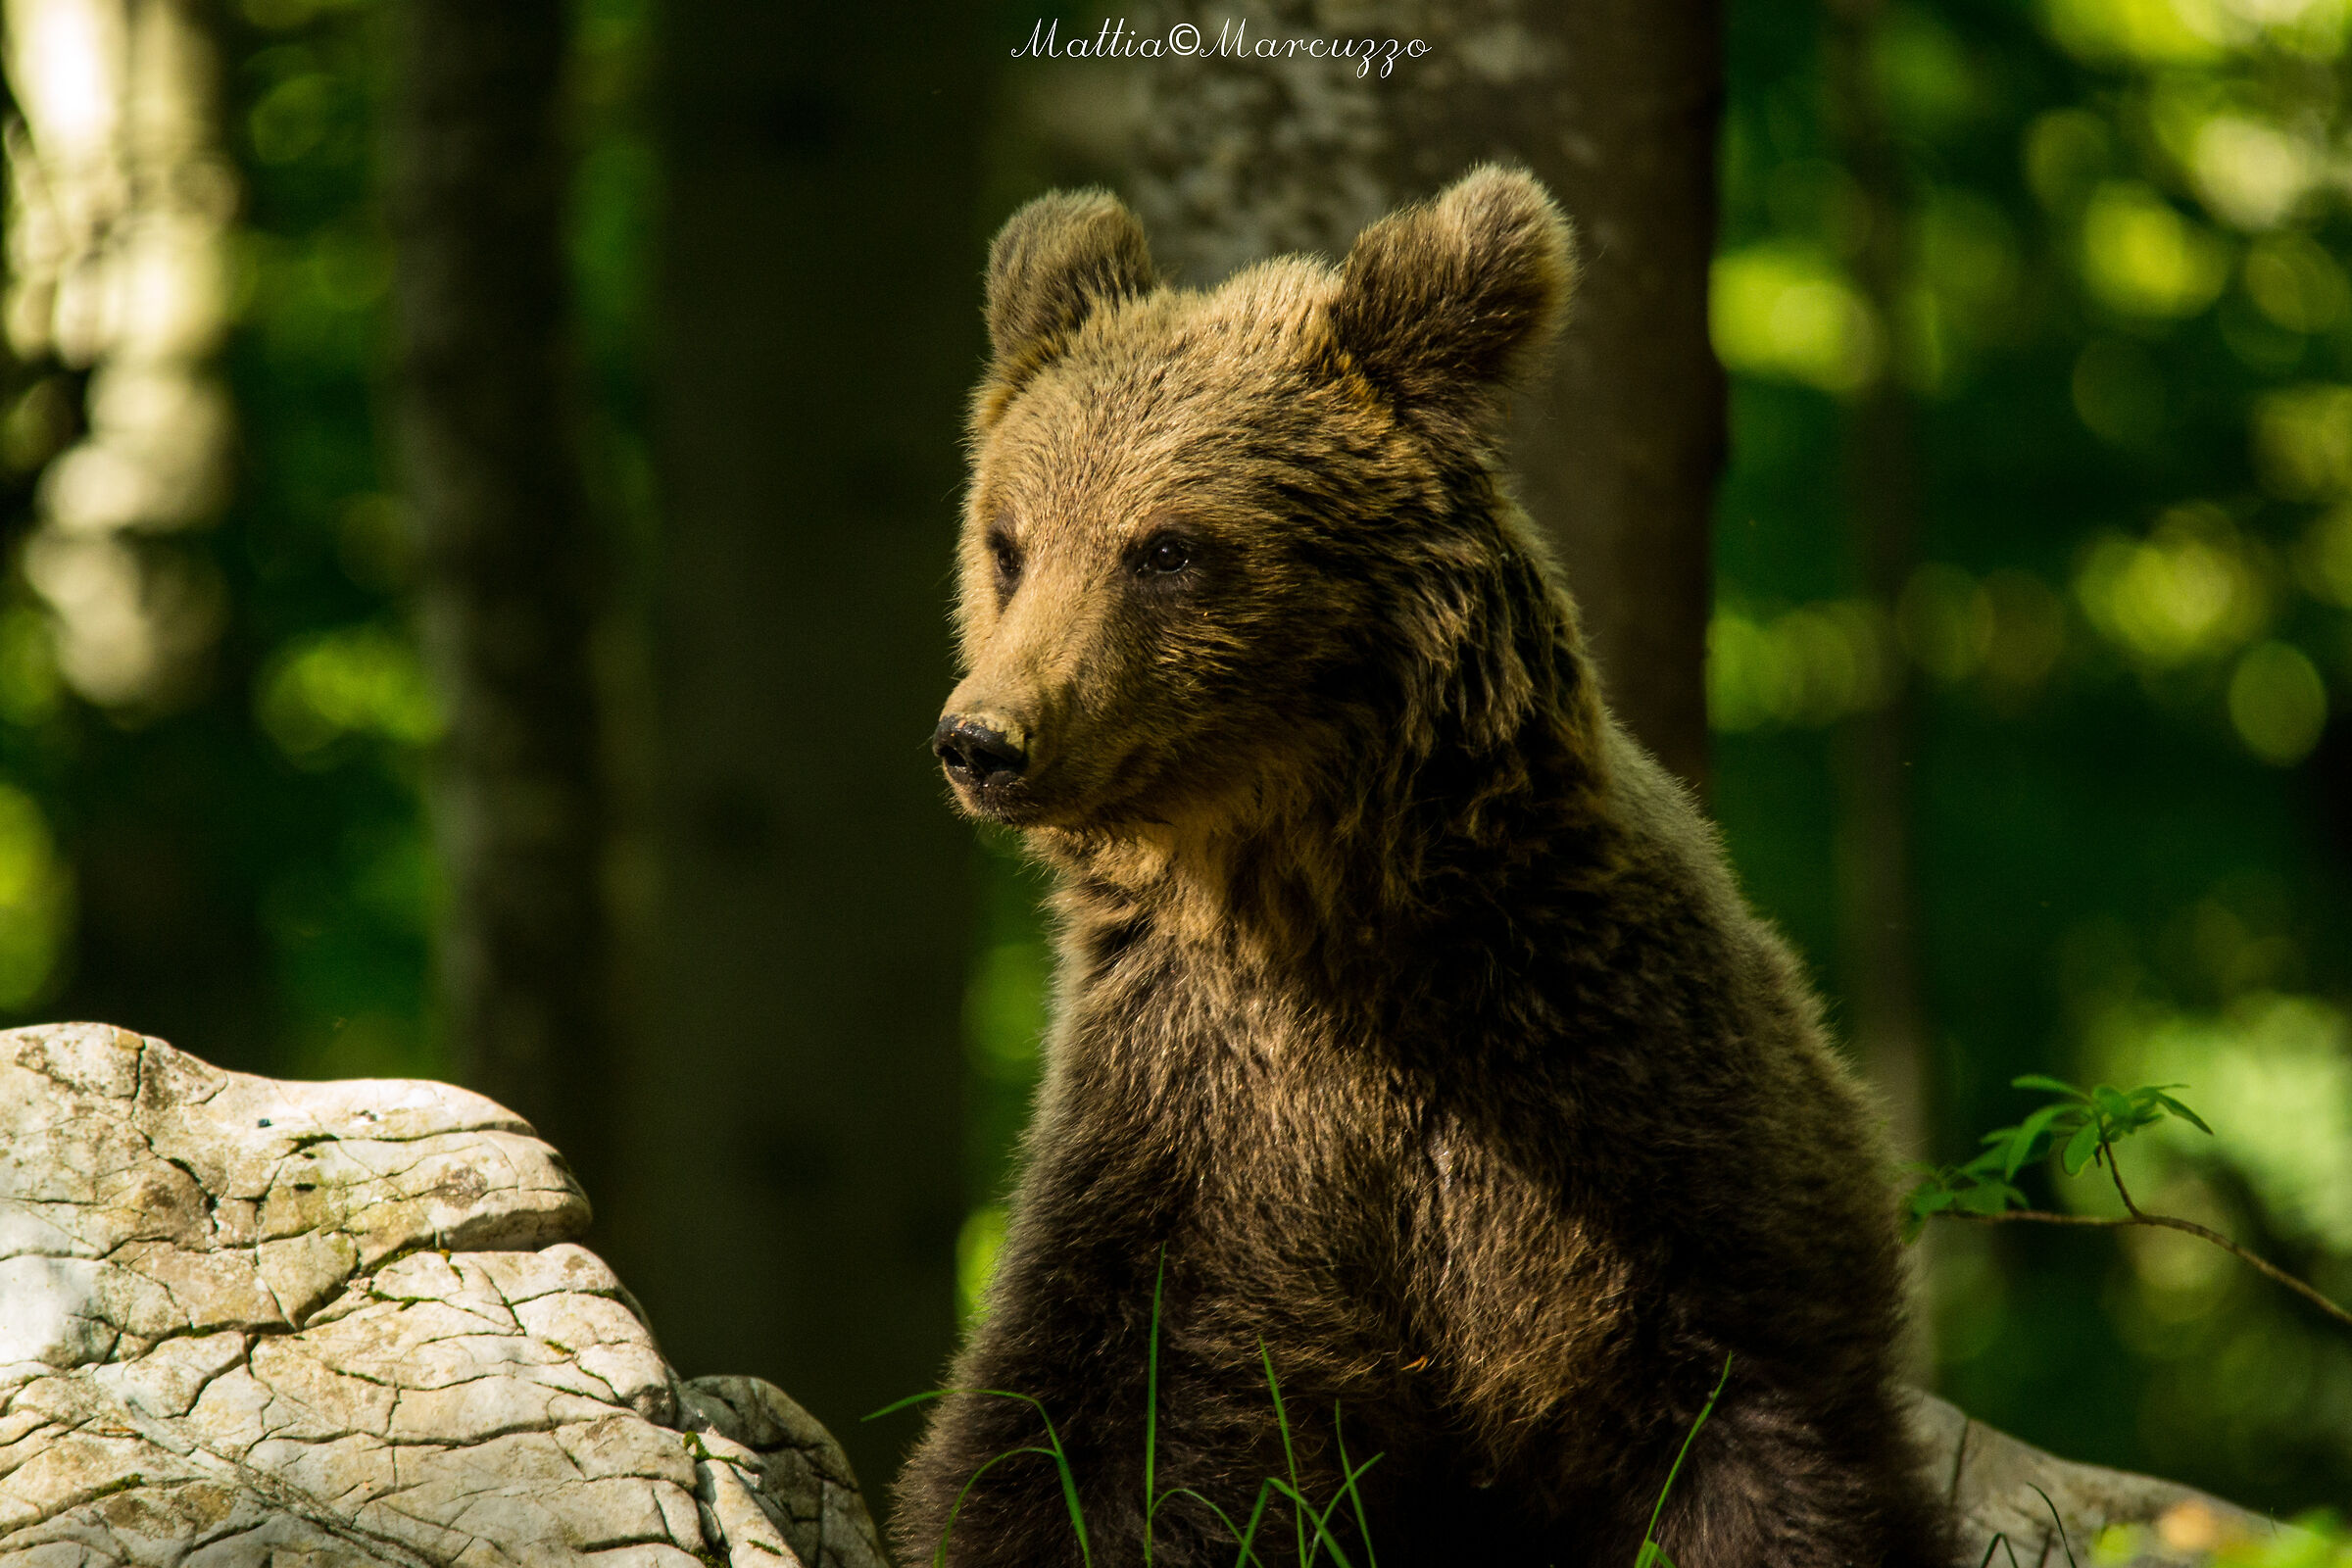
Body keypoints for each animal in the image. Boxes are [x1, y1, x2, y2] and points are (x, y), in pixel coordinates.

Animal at [897, 166, 1954, 1568]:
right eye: (1008, 540)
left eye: (1167, 546)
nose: (986, 739)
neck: (1322, 906)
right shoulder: (1197, 1125)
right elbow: (1087, 1424)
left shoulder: (1627, 1115)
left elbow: (1762, 1430)